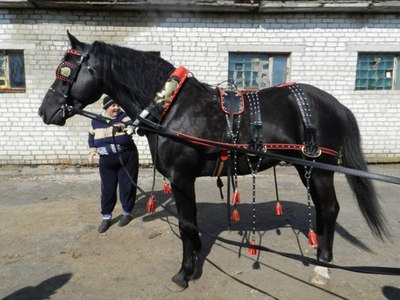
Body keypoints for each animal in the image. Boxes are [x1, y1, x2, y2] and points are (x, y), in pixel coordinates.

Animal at [38, 31, 388, 290]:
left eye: (65, 71)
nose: (45, 111)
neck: (171, 108)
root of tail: (335, 103)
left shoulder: (182, 177)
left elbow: (186, 223)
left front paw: (185, 272)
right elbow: (190, 222)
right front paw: (192, 261)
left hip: (318, 168)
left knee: (329, 208)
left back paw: (322, 265)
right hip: (307, 168)